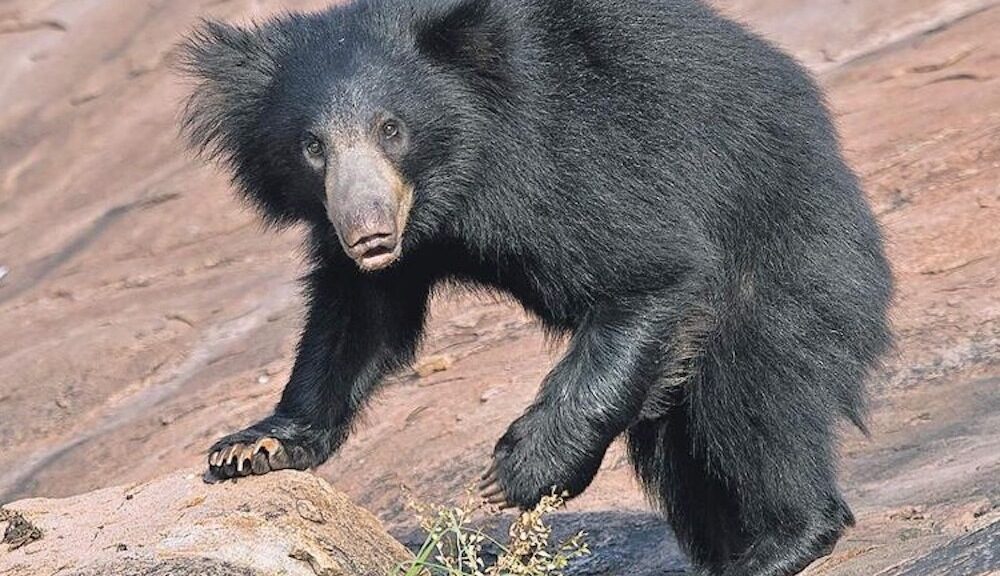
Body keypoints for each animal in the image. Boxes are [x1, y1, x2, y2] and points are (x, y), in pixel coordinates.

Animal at [178, 0, 893, 574]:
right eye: (312, 146)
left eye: (391, 129)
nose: (369, 234)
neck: (453, 183)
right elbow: (361, 318)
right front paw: (254, 446)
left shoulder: (567, 159)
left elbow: (651, 272)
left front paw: (512, 476)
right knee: (679, 444)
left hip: (788, 256)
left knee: (756, 396)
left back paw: (781, 543)